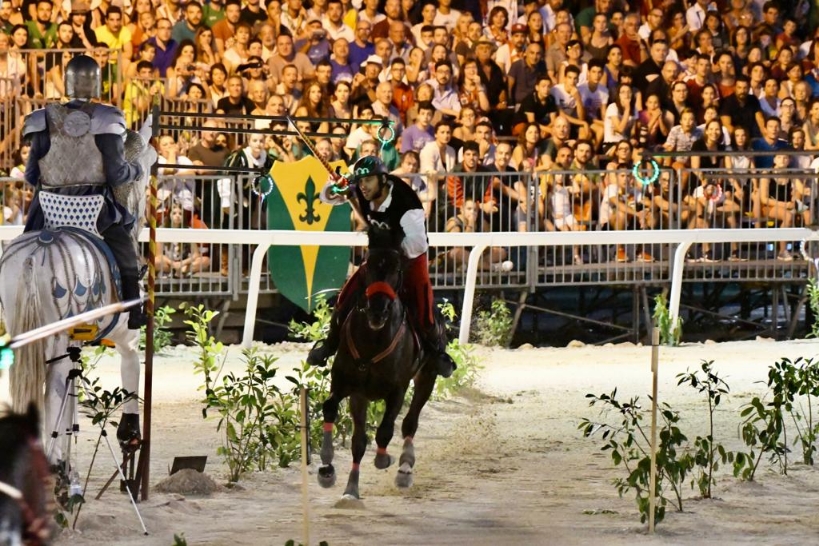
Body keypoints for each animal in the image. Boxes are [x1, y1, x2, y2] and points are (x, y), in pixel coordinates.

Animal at [0, 123, 156, 460]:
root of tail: (37, 253)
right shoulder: (127, 338)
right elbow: (130, 372)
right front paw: (130, 434)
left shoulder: (74, 344)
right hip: (57, 337)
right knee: (54, 393)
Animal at [316, 240, 442, 496]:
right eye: (367, 268)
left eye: (396, 270)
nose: (377, 311)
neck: (372, 343)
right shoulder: (348, 386)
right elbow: (333, 410)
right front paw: (329, 468)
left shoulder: (397, 390)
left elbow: (385, 430)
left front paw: (385, 459)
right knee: (360, 438)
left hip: (427, 375)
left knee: (410, 421)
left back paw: (405, 466)